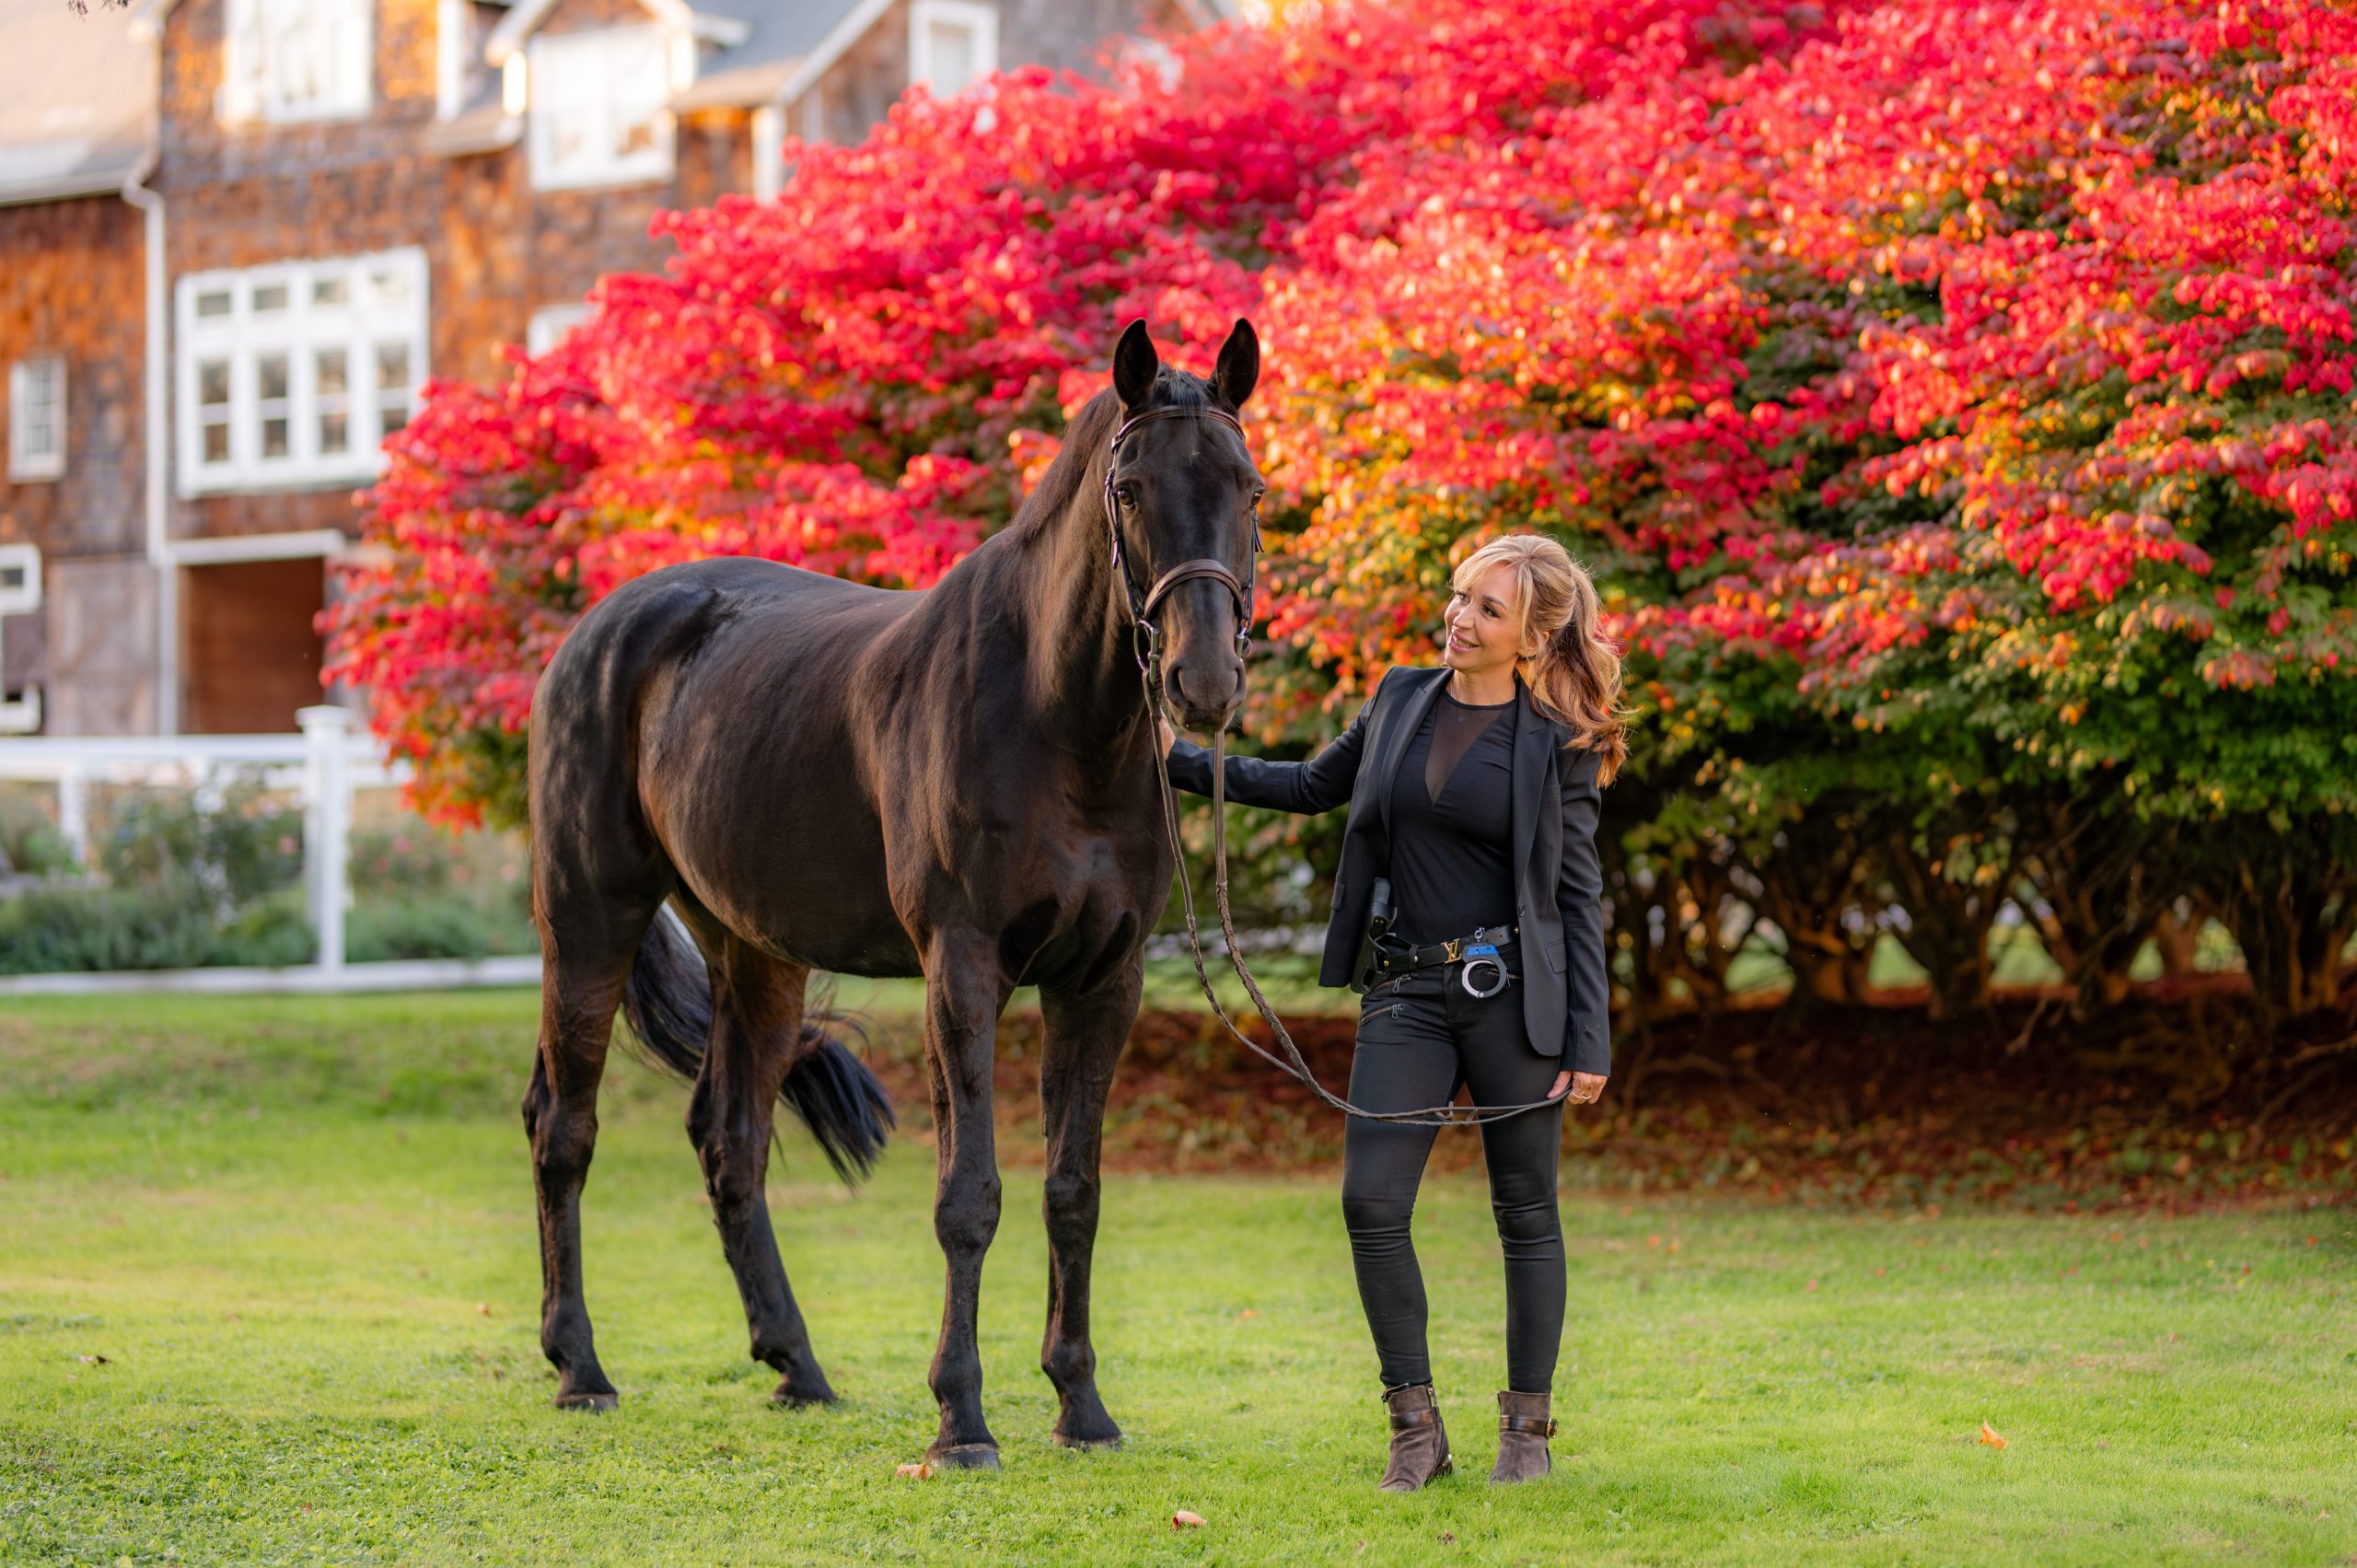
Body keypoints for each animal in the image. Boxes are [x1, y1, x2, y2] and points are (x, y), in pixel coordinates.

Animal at [521, 318, 1263, 1469]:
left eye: (1250, 486)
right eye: (1130, 488)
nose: (1205, 681)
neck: (1056, 722)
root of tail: (601, 630)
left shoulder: (1103, 979)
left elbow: (1073, 1192)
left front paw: (1080, 1405)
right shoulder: (962, 969)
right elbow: (970, 1196)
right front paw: (961, 1417)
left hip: (754, 951)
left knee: (730, 1137)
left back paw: (798, 1366)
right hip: (589, 920)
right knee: (564, 1126)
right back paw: (581, 1368)